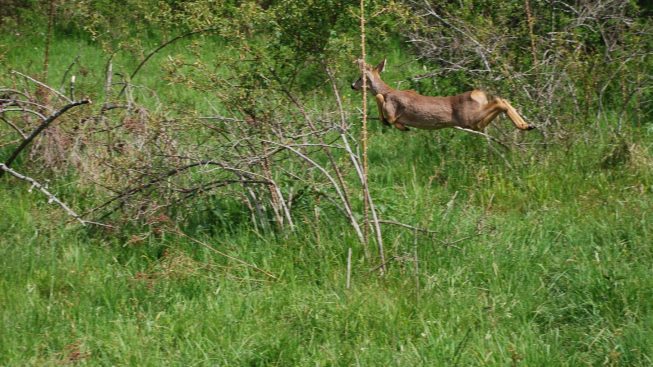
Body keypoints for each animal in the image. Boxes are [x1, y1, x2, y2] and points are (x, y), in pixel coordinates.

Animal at [352, 58, 536, 132]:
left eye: (360, 77)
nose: (352, 85)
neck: (388, 90)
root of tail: (478, 94)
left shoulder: (392, 107)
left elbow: (381, 102)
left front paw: (399, 125)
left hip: (469, 118)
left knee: (500, 100)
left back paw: (525, 125)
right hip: (475, 122)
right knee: (502, 99)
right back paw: (527, 126)